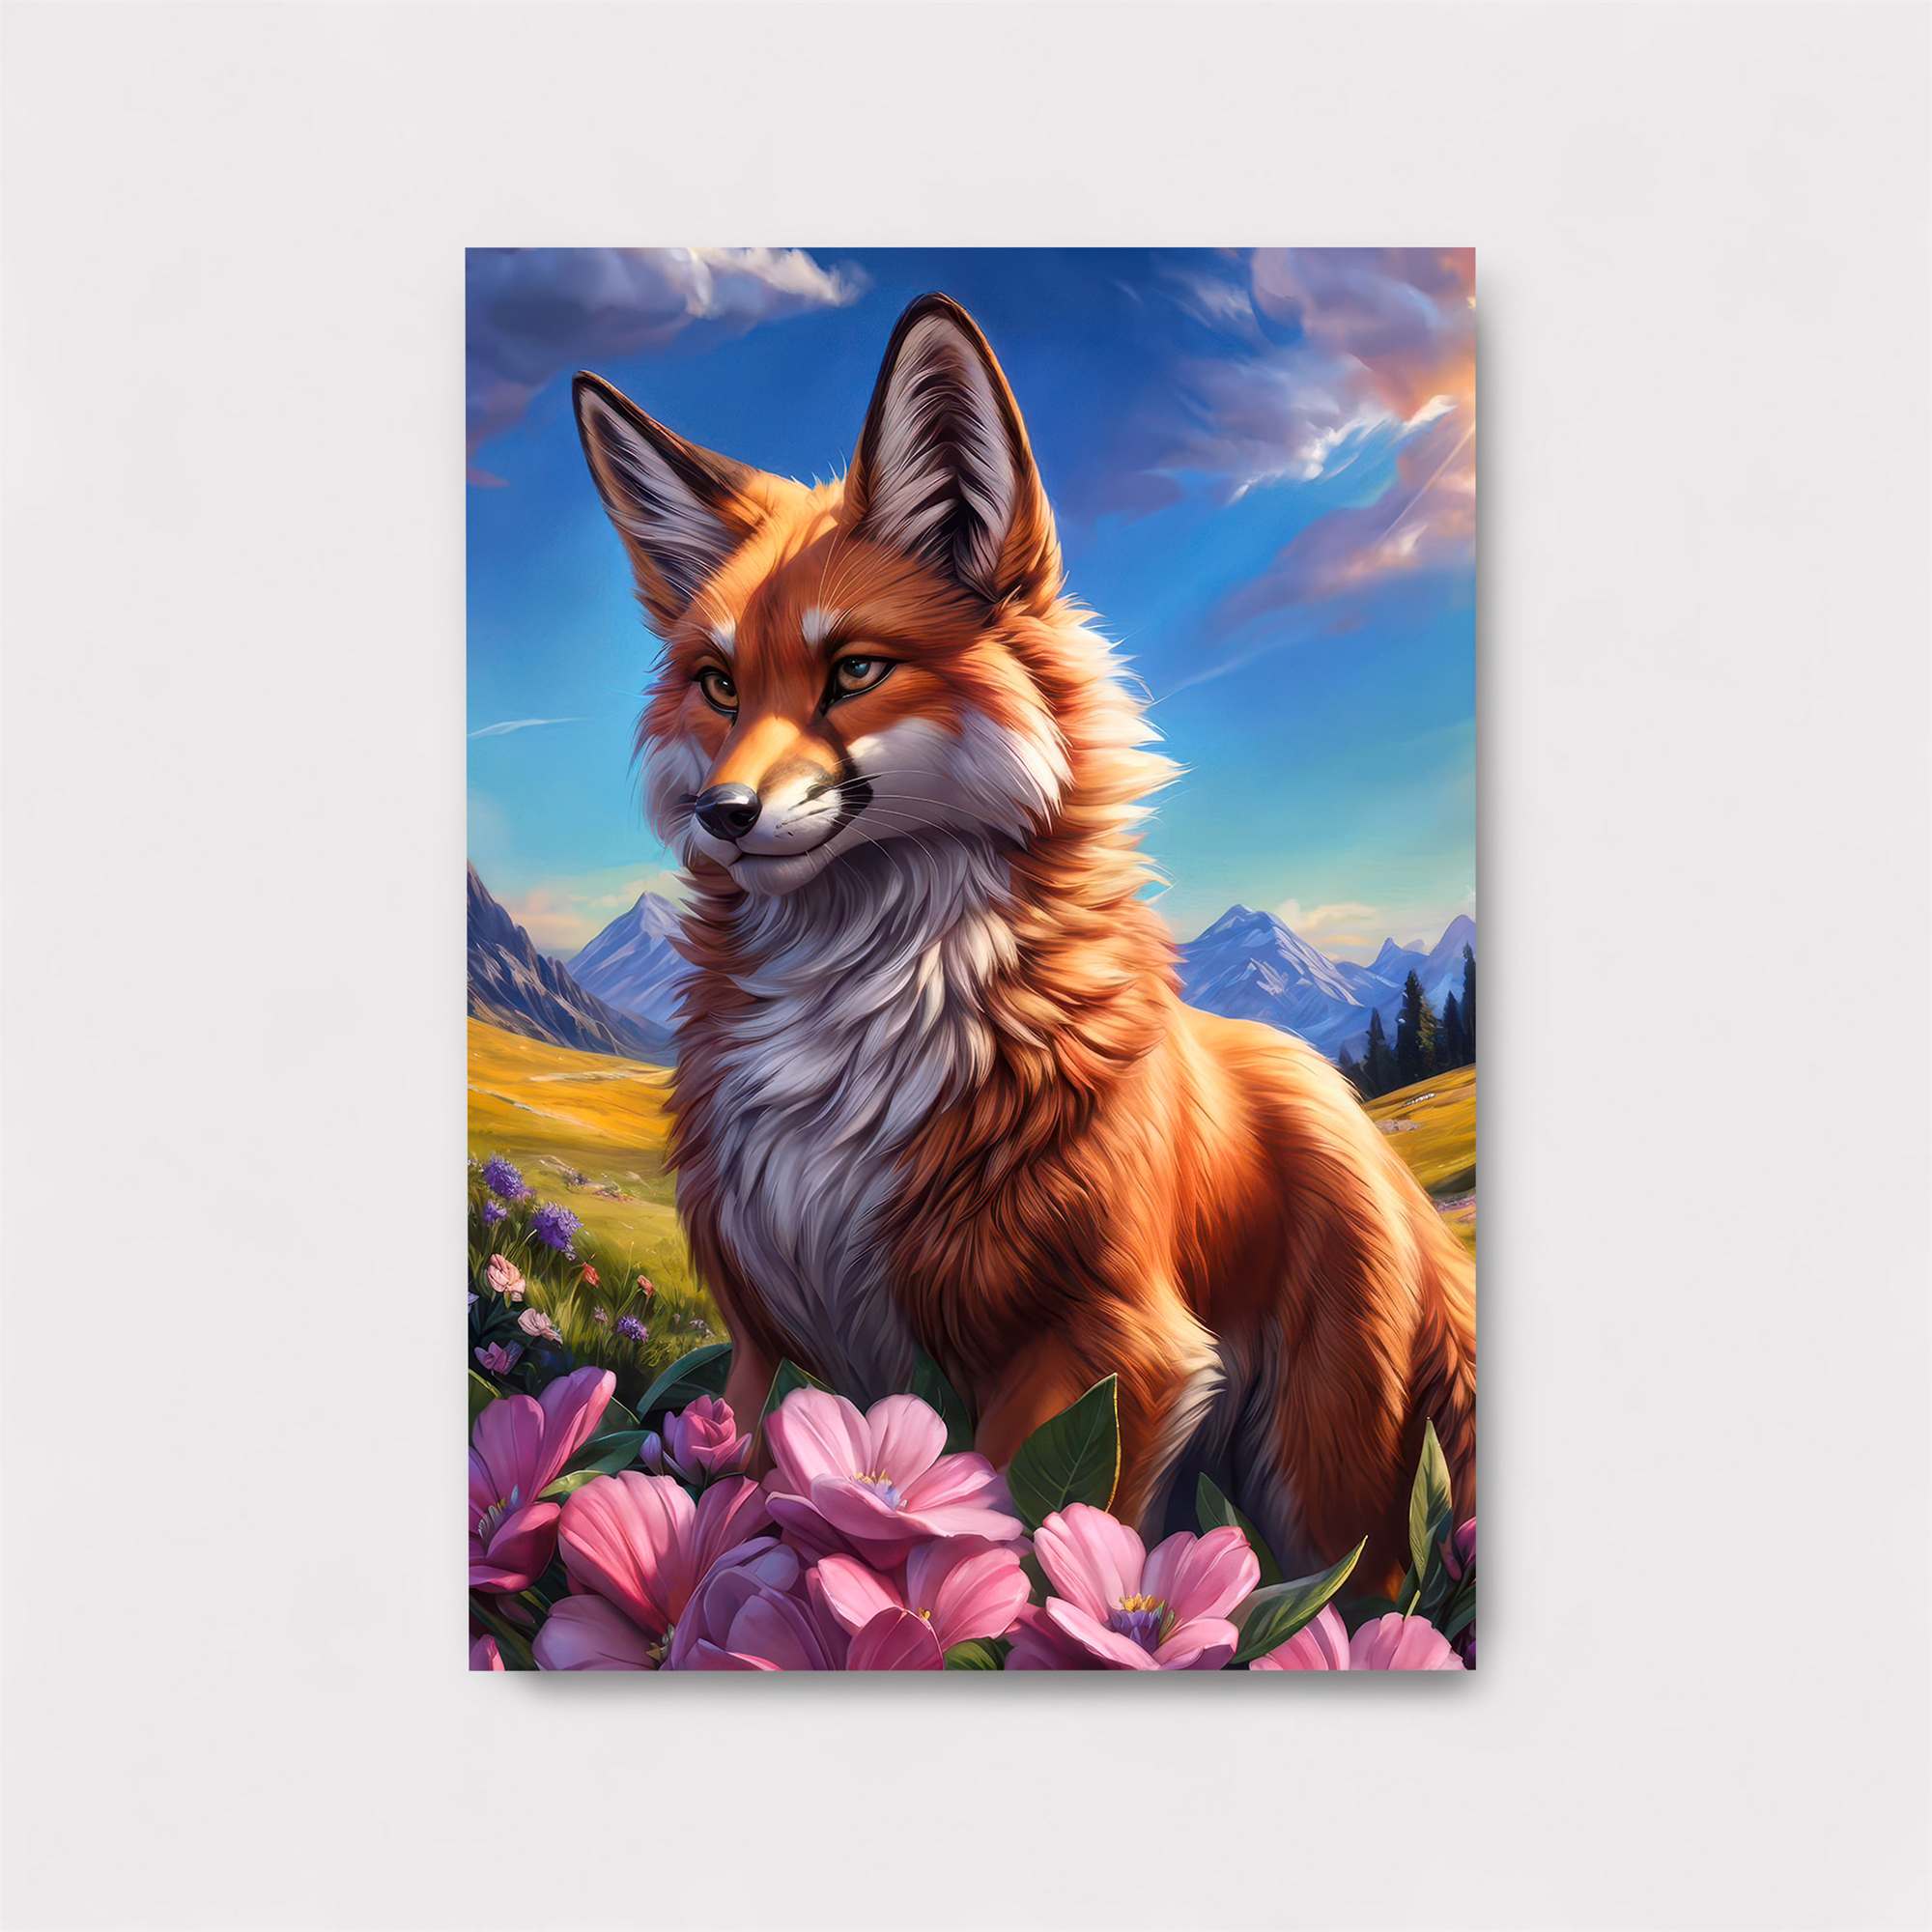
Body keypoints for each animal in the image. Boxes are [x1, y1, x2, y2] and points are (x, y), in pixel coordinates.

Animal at [572, 292, 1474, 1592]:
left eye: (854, 669)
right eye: (718, 685)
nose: (721, 814)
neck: (858, 1033)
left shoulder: (1111, 1348)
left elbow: (1020, 1558)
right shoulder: (765, 1341)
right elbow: (735, 1502)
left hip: (1328, 1494)